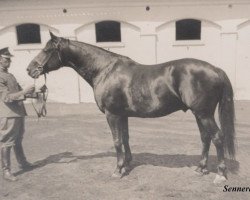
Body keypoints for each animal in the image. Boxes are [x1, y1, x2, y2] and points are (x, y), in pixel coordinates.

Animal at [26, 32, 235, 184]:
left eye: (47, 50)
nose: (30, 69)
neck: (104, 70)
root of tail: (216, 69)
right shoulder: (122, 115)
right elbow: (125, 138)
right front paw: (126, 164)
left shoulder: (112, 115)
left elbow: (117, 141)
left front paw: (118, 170)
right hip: (199, 114)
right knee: (205, 137)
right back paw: (200, 168)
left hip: (203, 113)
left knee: (217, 137)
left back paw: (220, 175)